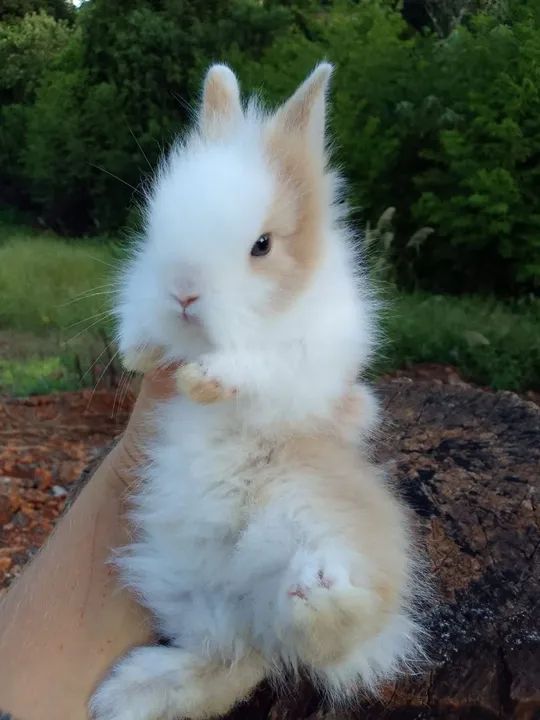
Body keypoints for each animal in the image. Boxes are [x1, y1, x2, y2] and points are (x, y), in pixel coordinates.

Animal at [90, 62, 425, 720]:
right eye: (157, 225)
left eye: (262, 245)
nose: (183, 292)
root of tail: (245, 600)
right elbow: (138, 321)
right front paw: (140, 351)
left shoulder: (310, 366)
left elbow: (264, 370)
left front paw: (205, 380)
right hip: (184, 589)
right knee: (231, 663)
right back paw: (125, 694)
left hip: (319, 516)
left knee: (341, 629)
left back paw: (322, 597)